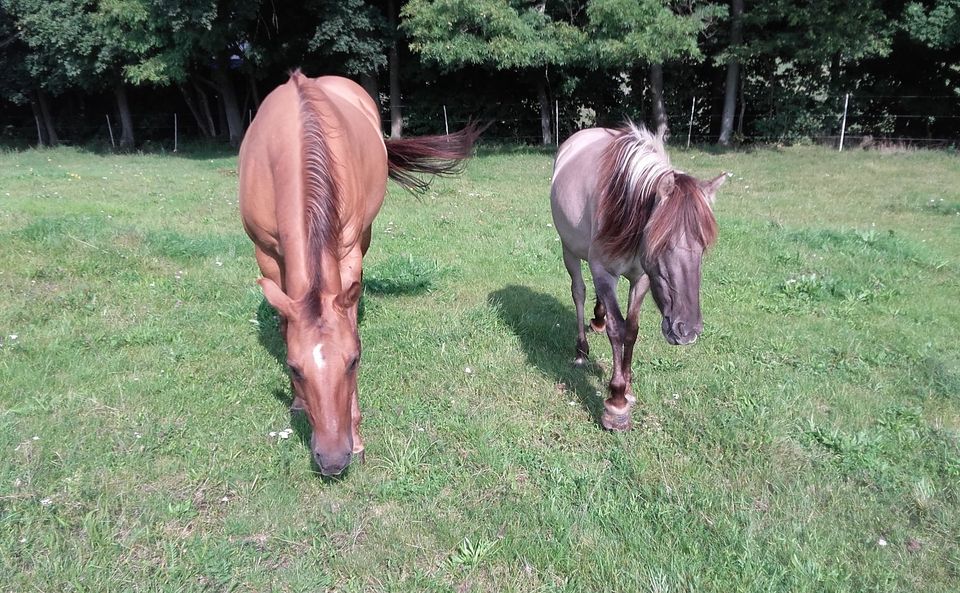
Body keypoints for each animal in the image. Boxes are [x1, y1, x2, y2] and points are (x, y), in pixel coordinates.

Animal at [240, 71, 480, 474]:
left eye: (354, 361)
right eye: (294, 368)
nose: (333, 459)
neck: (292, 146)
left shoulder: (348, 250)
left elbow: (348, 317)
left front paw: (357, 438)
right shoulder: (268, 257)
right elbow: (287, 322)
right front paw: (298, 402)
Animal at [552, 123, 724, 430]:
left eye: (703, 247)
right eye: (661, 243)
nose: (687, 331)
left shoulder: (641, 277)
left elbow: (630, 329)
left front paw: (628, 387)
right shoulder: (603, 271)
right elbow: (617, 329)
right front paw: (616, 403)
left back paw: (598, 319)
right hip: (569, 250)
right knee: (579, 292)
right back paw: (581, 350)